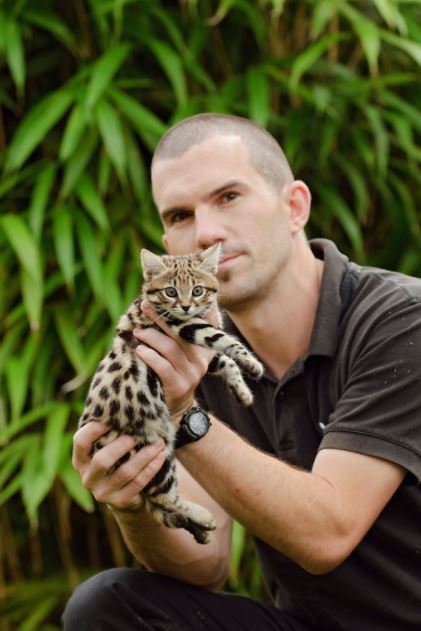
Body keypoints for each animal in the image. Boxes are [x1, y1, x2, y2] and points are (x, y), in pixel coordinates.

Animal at [78, 243, 262, 544]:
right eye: (171, 292)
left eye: (197, 290)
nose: (186, 305)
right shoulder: (183, 326)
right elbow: (223, 339)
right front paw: (251, 362)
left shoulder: (200, 350)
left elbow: (224, 361)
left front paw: (243, 390)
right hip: (152, 451)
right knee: (161, 497)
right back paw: (202, 516)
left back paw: (198, 529)